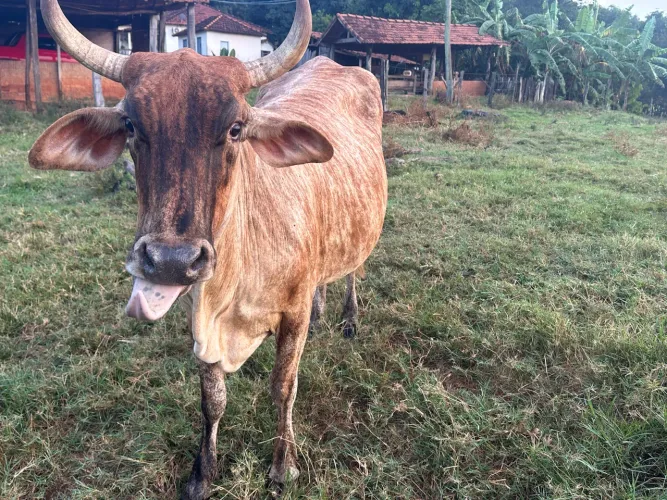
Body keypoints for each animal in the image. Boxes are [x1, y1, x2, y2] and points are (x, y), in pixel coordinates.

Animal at [28, 0, 387, 497]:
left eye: (236, 128)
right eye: (130, 125)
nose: (171, 261)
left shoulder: (290, 316)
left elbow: (283, 387)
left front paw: (283, 465)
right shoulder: (199, 319)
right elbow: (212, 400)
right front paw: (204, 471)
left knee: (352, 270)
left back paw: (349, 318)